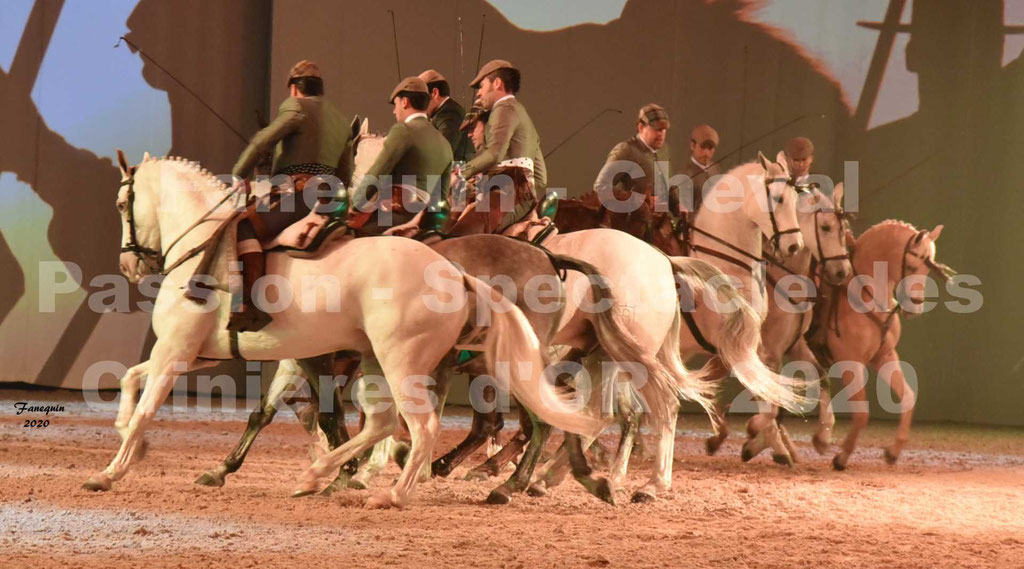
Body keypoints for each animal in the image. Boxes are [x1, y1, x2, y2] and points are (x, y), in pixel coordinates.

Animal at [92, 149, 602, 509]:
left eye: (120, 202)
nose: (129, 263)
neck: (204, 247)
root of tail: (458, 274)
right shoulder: (202, 354)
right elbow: (134, 382)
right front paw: (140, 447)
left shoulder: (178, 352)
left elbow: (148, 407)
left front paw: (110, 471)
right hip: (391, 362)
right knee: (393, 422)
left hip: (412, 363)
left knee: (436, 424)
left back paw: (411, 490)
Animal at [811, 220, 954, 468]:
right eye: (912, 267)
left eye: (928, 269)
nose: (915, 308)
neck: (865, 296)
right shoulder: (851, 364)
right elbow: (861, 413)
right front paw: (843, 457)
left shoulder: (884, 356)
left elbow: (908, 397)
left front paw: (893, 451)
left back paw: (819, 438)